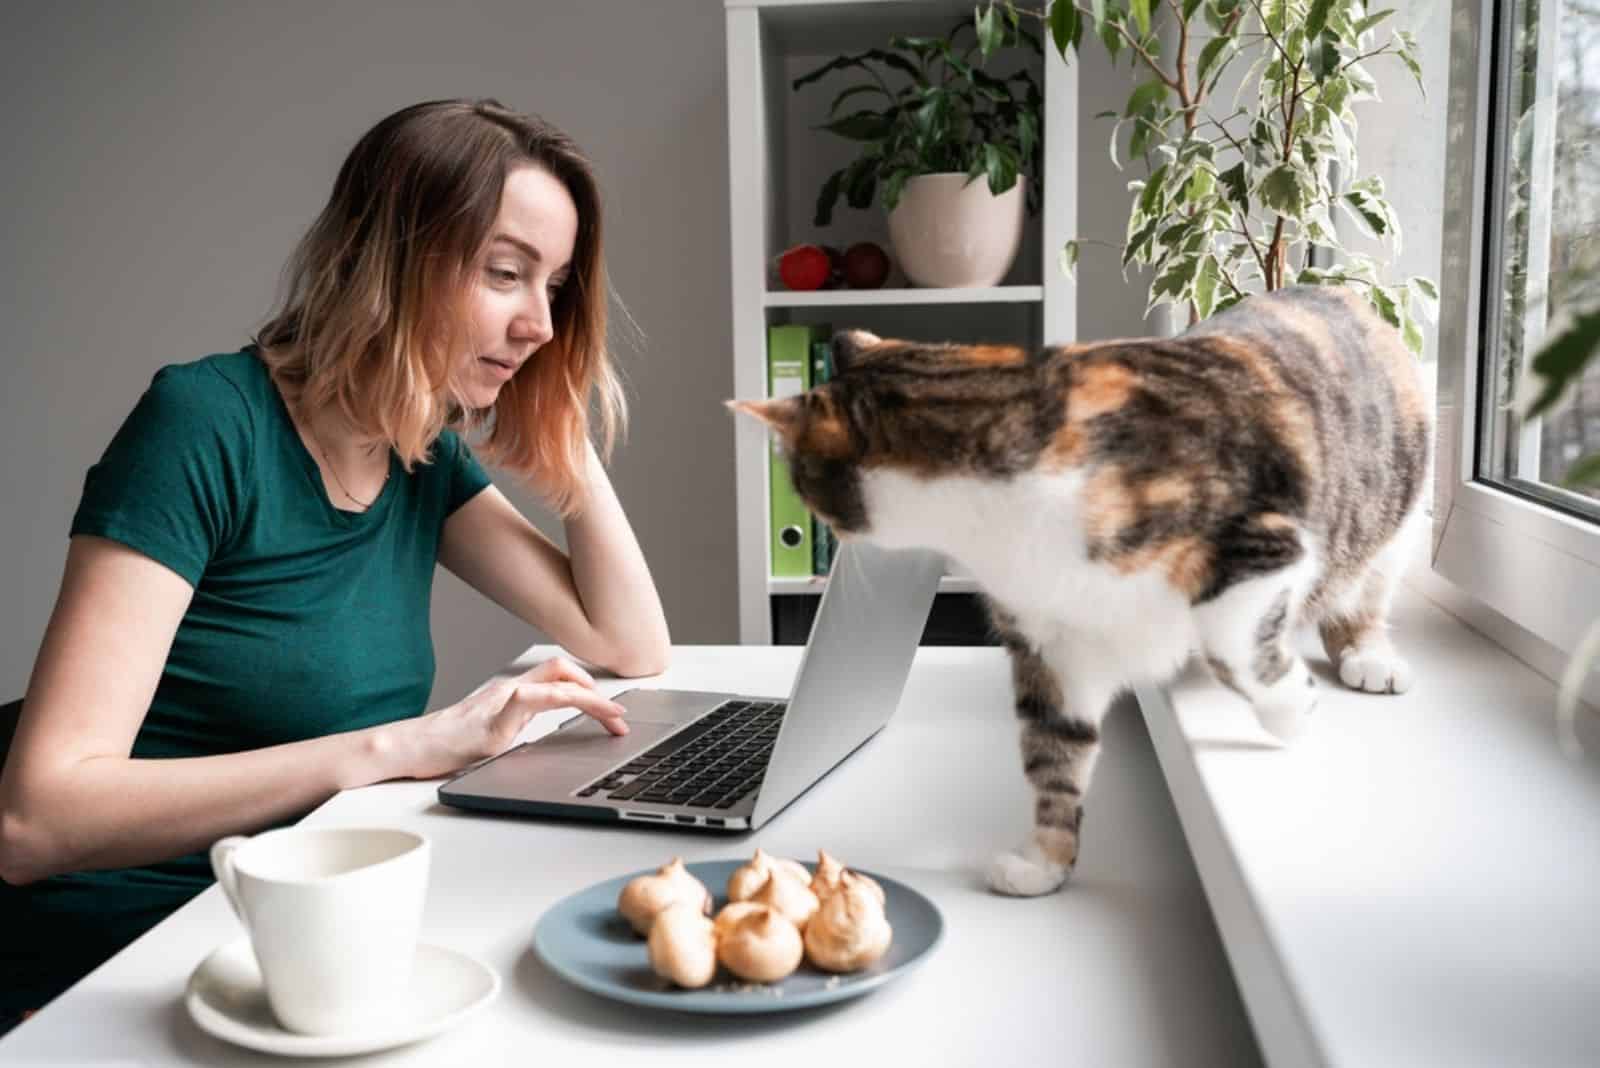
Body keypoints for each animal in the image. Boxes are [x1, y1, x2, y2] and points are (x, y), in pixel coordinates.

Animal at [732, 282, 1433, 895]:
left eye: (801, 482)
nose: (825, 529)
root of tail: (1337, 290)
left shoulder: (1261, 543)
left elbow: (1237, 648)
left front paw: (1293, 708)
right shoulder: (1051, 640)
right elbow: (1053, 749)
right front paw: (1044, 861)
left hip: (1393, 509)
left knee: (1365, 587)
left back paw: (1367, 655)